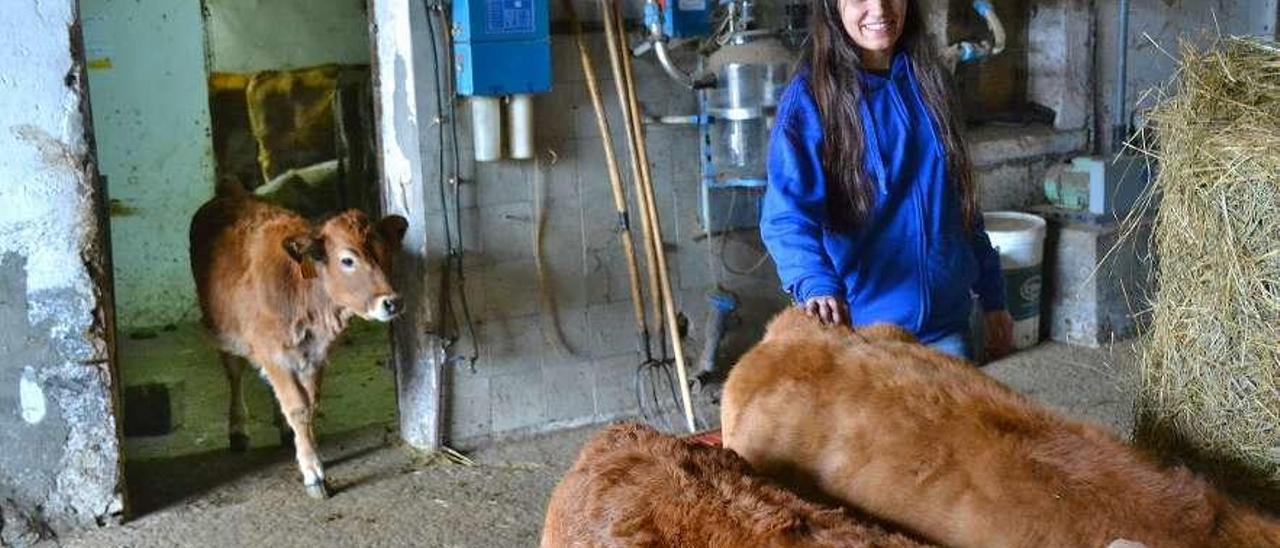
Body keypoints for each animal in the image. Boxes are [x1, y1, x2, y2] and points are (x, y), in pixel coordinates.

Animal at [189, 194, 404, 499]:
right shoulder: (273, 354)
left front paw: (308, 450)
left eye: (386, 253)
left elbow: (308, 404)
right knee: (235, 374)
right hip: (221, 329)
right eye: (347, 260)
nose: (392, 302)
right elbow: (297, 407)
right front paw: (312, 471)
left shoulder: (315, 355)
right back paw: (238, 428)